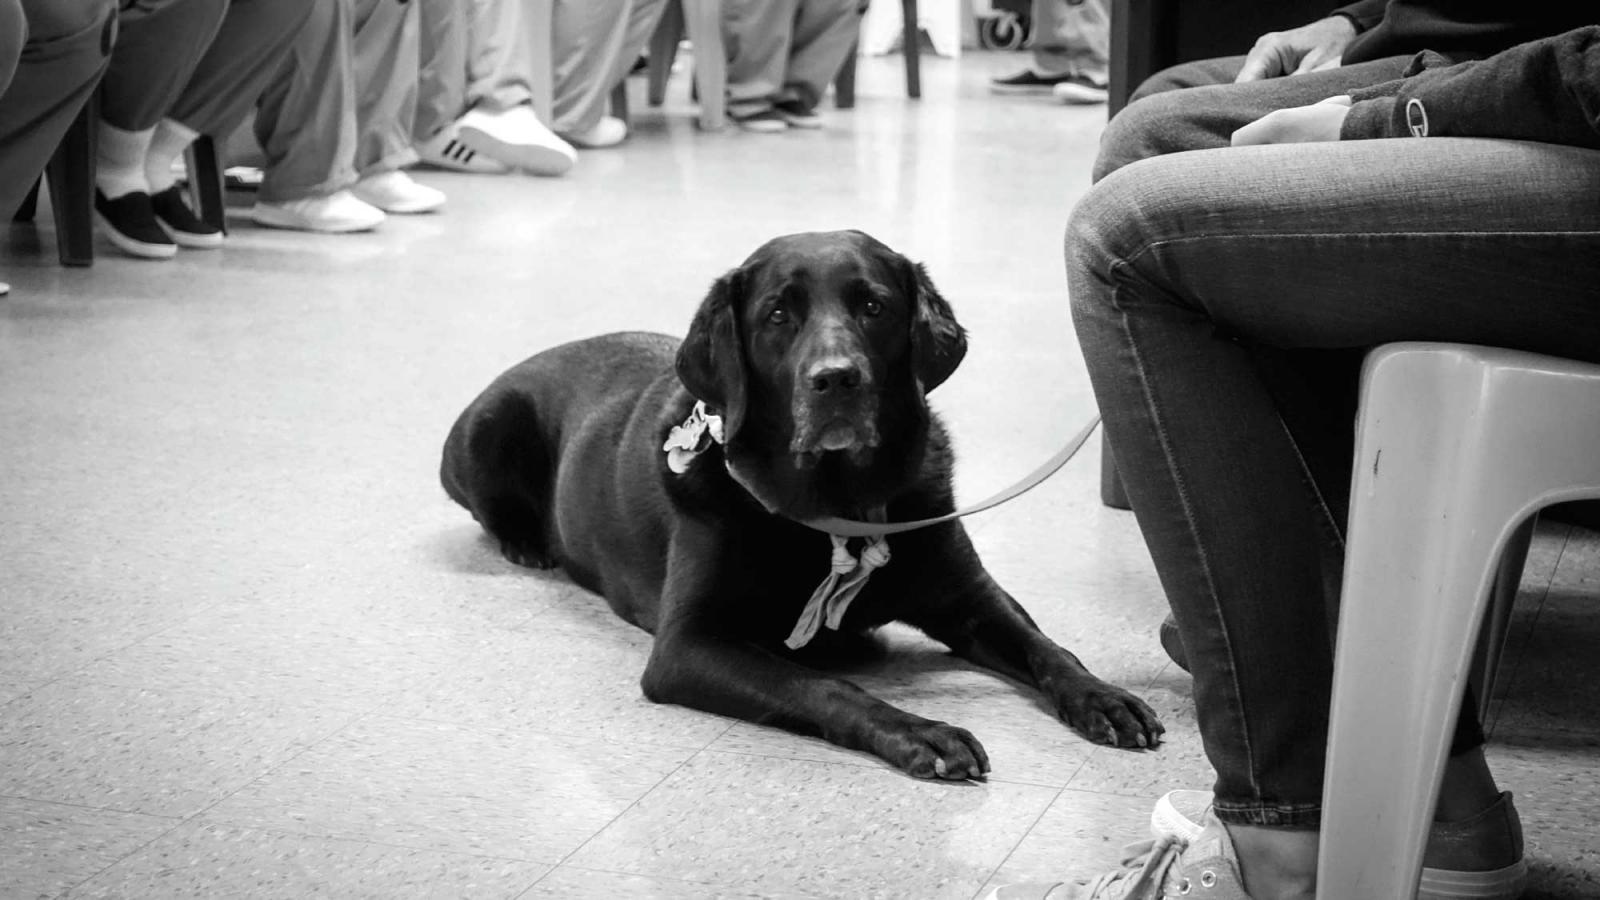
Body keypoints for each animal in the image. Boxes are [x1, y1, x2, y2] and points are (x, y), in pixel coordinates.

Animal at [438, 230, 1164, 778]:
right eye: (778, 316)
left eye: (873, 305)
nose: (836, 379)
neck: (840, 504)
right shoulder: (689, 645)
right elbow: (822, 684)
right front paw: (920, 732)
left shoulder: (972, 597)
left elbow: (1048, 648)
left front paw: (1103, 698)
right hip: (486, 428)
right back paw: (527, 543)